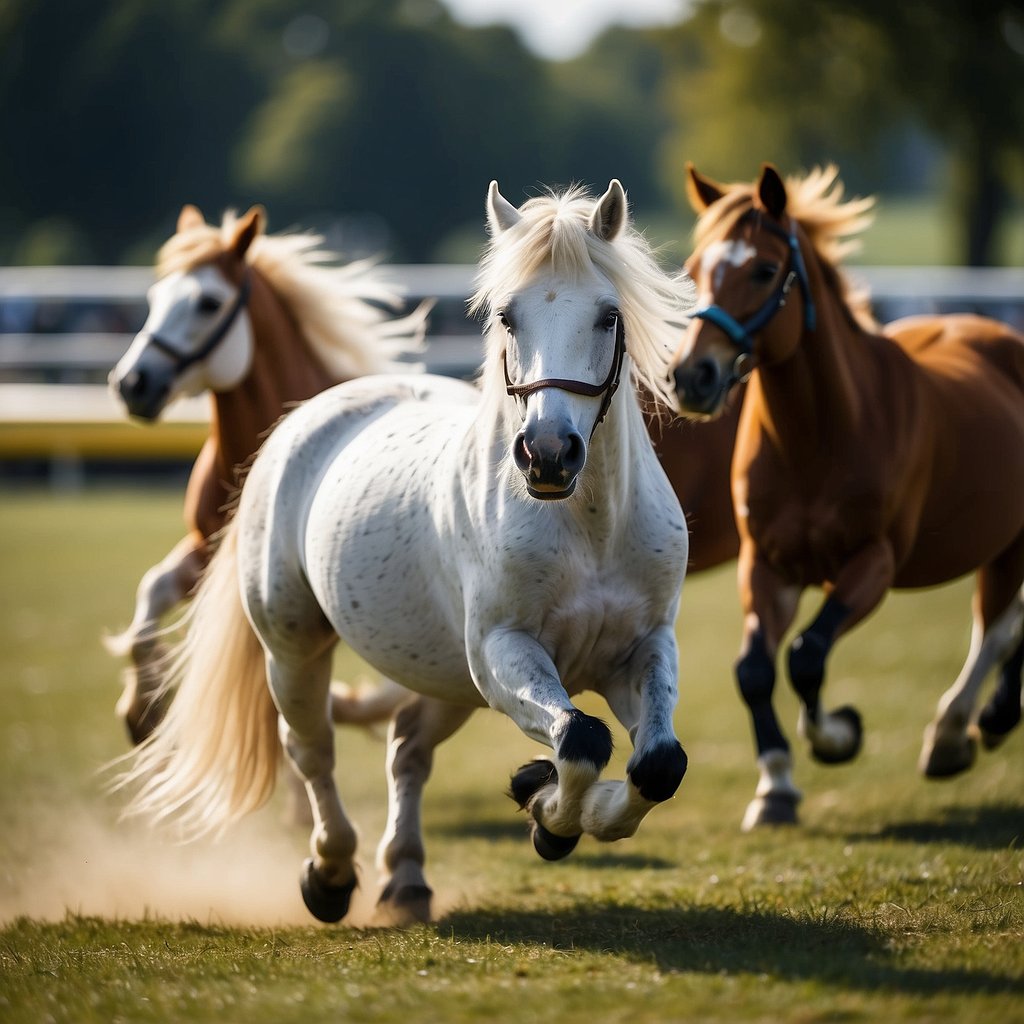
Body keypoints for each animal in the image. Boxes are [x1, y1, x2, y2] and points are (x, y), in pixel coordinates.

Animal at [106, 204, 426, 742]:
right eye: (154, 298)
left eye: (209, 303)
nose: (133, 383)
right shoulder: (208, 553)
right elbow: (150, 594)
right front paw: (141, 709)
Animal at [670, 162, 1024, 830]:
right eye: (695, 267)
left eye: (764, 270)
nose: (690, 377)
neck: (818, 437)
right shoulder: (768, 566)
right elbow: (756, 669)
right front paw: (776, 786)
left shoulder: (873, 562)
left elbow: (807, 654)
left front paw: (838, 735)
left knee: (995, 628)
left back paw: (959, 730)